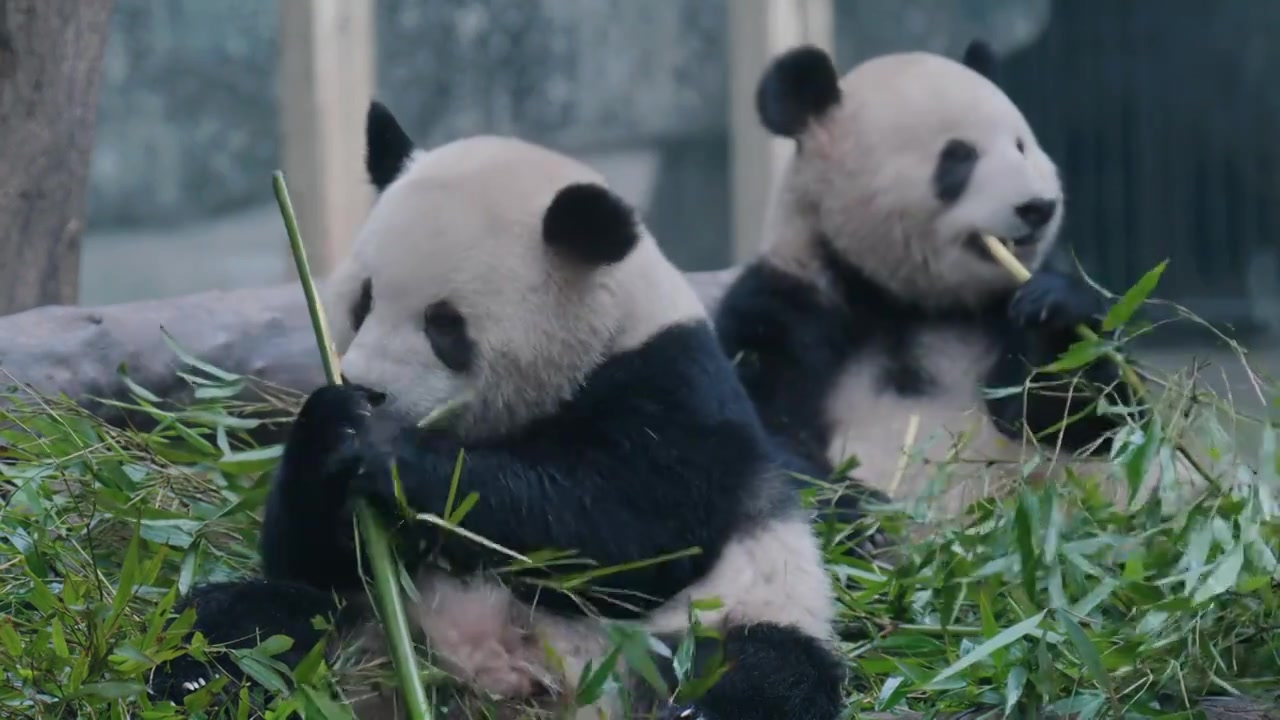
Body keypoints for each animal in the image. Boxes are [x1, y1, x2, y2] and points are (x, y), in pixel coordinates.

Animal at [147, 99, 849, 717]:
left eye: (444, 325)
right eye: (363, 300)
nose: (370, 388)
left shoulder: (675, 389)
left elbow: (619, 533)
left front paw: (386, 450)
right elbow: (307, 557)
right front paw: (334, 424)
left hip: (717, 621)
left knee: (756, 674)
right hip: (359, 619)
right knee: (250, 624)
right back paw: (191, 683)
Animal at [716, 40, 1146, 520]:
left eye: (1021, 147)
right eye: (959, 155)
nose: (1037, 207)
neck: (907, 298)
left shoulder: (997, 308)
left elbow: (1082, 421)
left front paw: (1056, 310)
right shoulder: (786, 304)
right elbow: (762, 440)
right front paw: (862, 512)